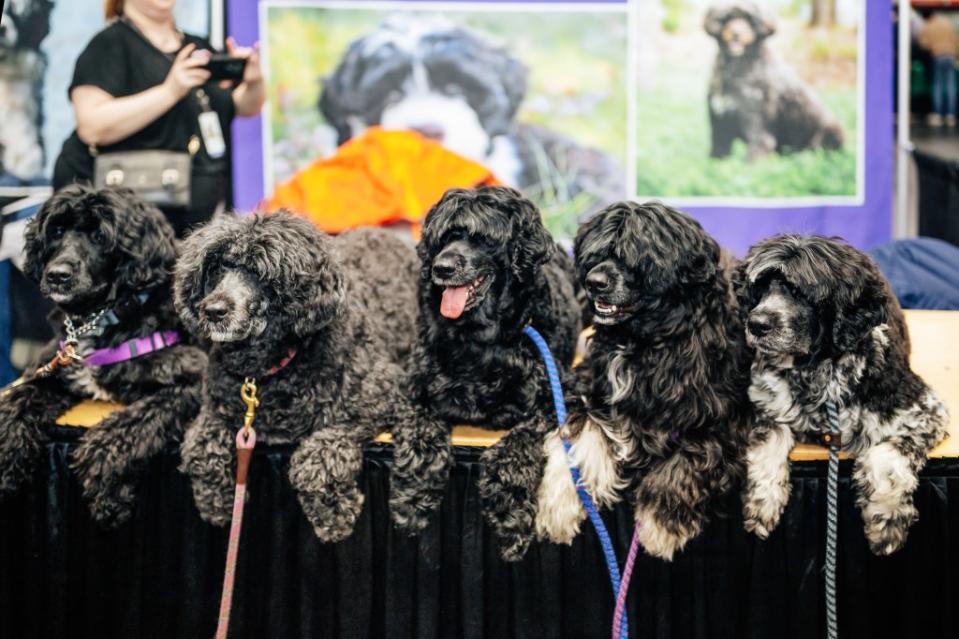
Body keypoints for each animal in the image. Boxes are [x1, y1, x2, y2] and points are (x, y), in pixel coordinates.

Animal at [0, 184, 206, 524]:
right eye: (56, 230)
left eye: (100, 236)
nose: (57, 275)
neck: (101, 317)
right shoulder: (52, 368)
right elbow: (20, 397)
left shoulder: (194, 379)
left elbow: (139, 418)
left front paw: (104, 472)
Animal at [175, 212, 420, 544]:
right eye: (215, 268)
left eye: (258, 271)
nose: (213, 310)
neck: (265, 372)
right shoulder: (215, 410)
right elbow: (199, 447)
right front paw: (217, 501)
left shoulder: (381, 391)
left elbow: (316, 454)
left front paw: (333, 513)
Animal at [386, 185, 580, 560]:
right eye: (445, 236)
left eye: (482, 238)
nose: (442, 267)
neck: (479, 339)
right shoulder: (411, 390)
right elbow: (421, 433)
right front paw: (414, 496)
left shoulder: (558, 397)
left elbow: (516, 446)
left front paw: (509, 512)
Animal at [700, 1, 844, 160]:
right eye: (728, 17)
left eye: (751, 20)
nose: (736, 33)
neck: (737, 66)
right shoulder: (720, 120)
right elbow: (719, 149)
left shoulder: (756, 118)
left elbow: (759, 144)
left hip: (831, 129)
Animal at [736, 235, 944, 556]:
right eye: (761, 287)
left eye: (799, 291)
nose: (756, 324)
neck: (817, 373)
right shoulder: (763, 405)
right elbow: (768, 443)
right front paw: (763, 502)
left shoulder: (923, 412)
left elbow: (886, 457)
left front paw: (886, 520)